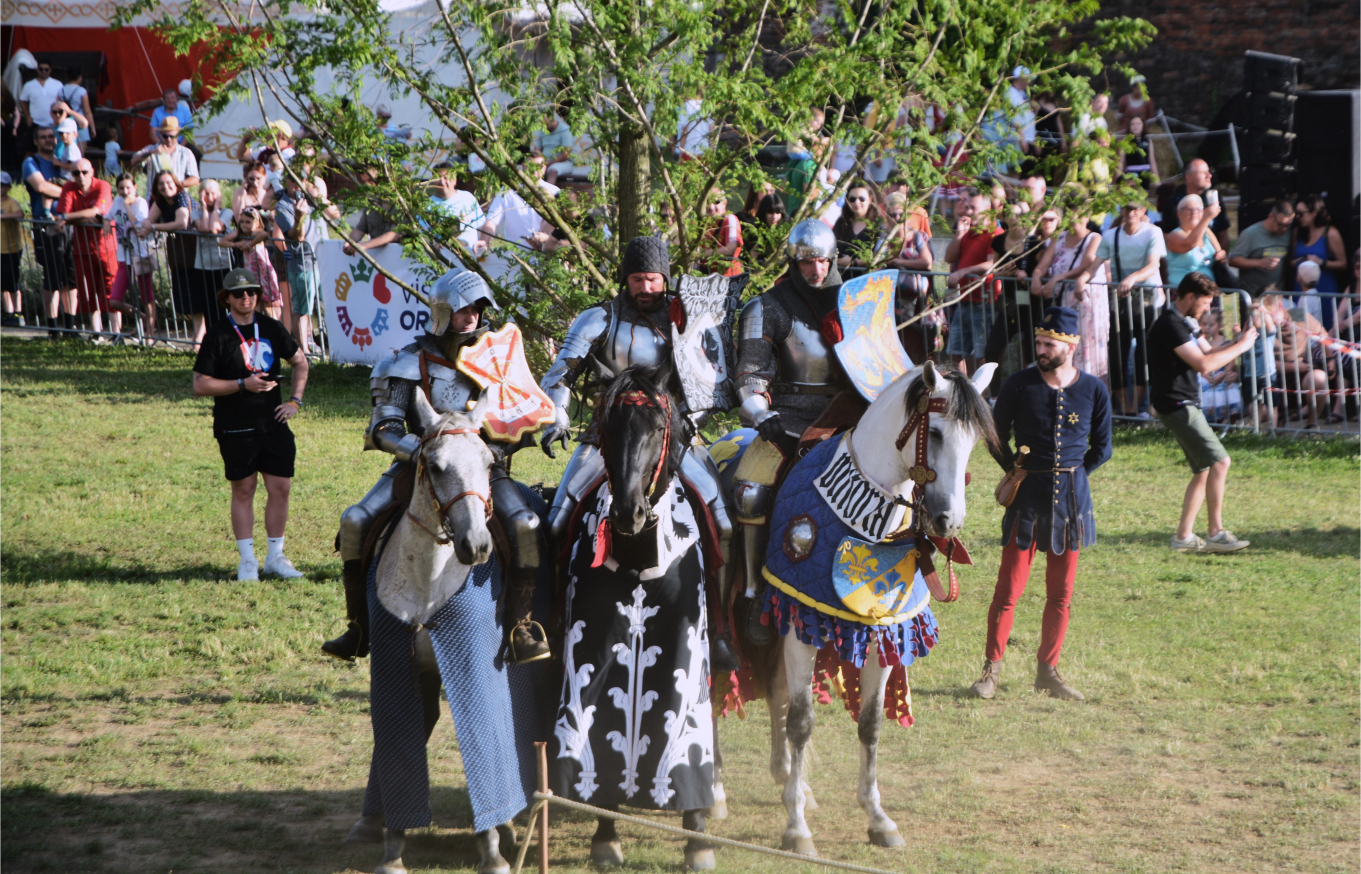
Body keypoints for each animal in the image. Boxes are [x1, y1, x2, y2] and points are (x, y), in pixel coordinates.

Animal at [762, 356, 996, 854]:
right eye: (937, 433)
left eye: (975, 443)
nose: (949, 521)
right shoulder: (798, 625)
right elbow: (802, 721)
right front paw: (796, 828)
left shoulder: (881, 629)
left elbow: (870, 723)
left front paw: (877, 817)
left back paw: (789, 778)